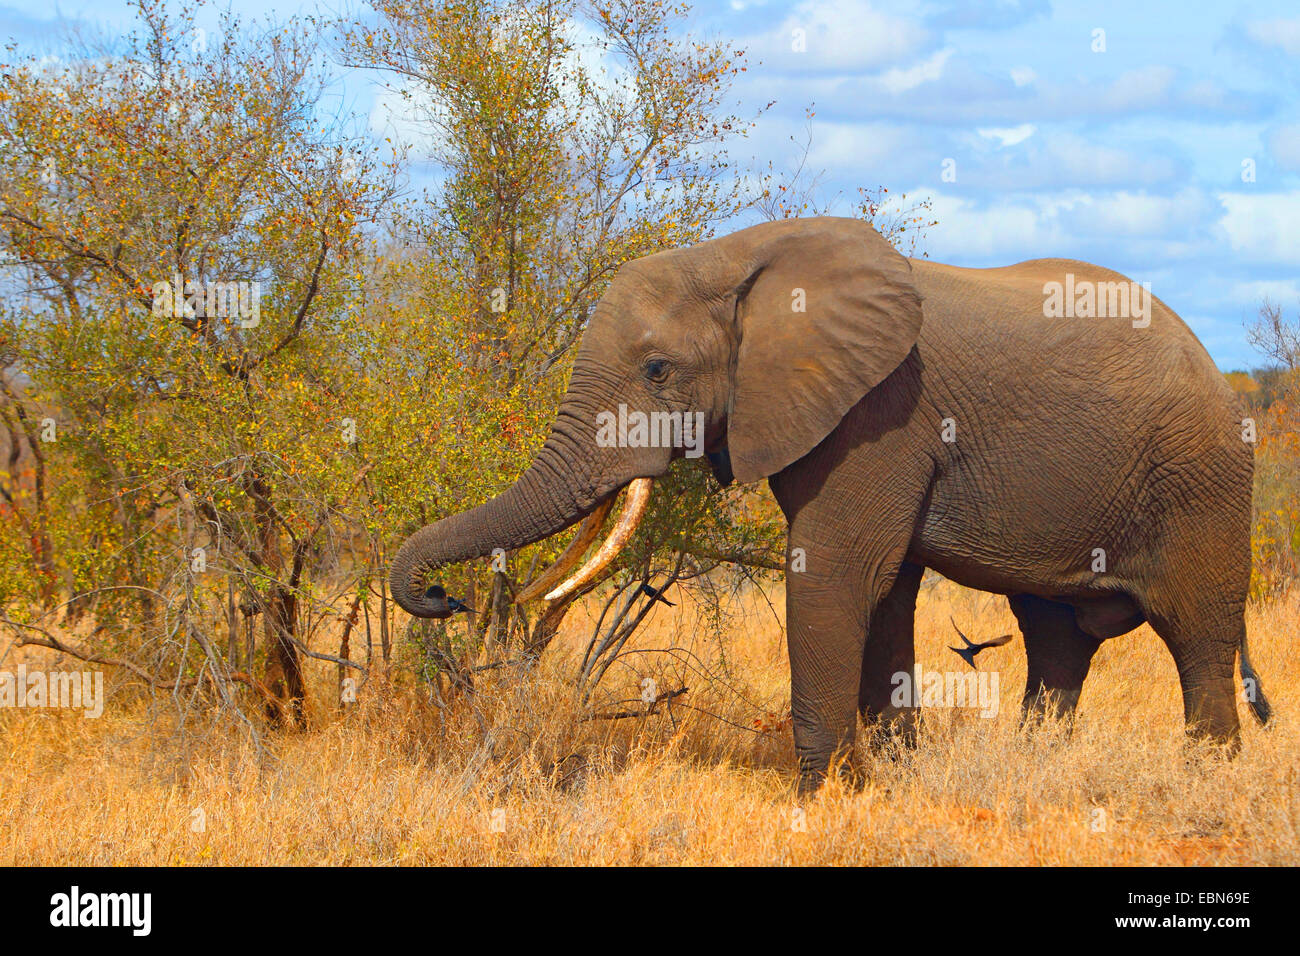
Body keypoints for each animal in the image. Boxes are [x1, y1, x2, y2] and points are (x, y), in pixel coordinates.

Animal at [390, 217, 1274, 790]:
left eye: (656, 371)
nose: (445, 598)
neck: (739, 258)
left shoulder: (882, 413)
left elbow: (841, 573)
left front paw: (820, 797)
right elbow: (888, 590)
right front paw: (891, 777)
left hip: (1203, 483)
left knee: (1196, 634)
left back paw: (1208, 779)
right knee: (1057, 638)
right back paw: (1036, 765)